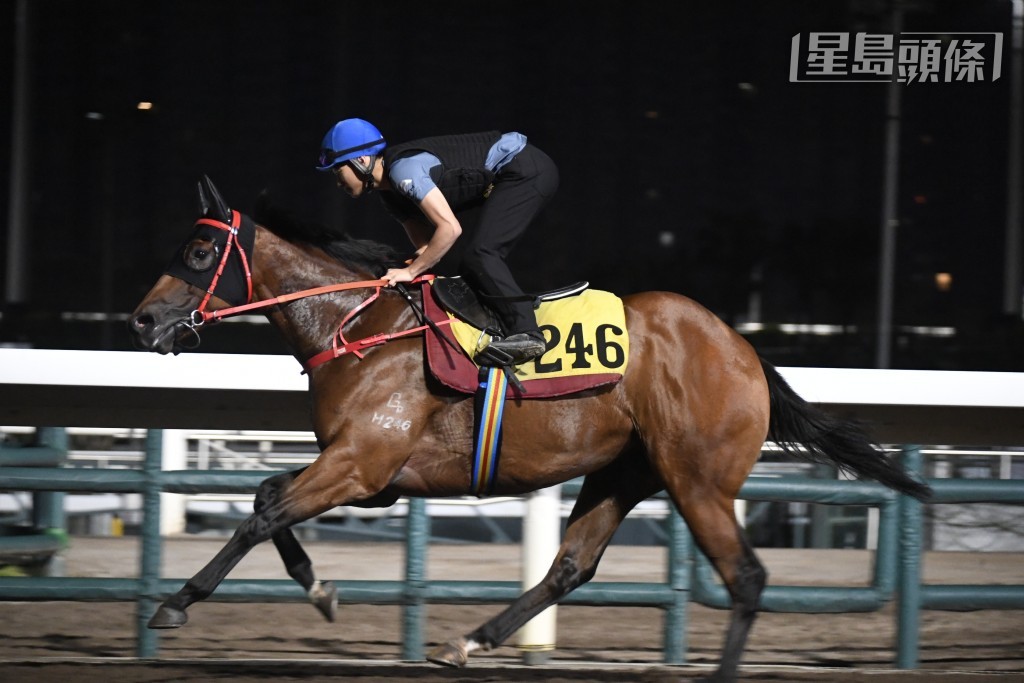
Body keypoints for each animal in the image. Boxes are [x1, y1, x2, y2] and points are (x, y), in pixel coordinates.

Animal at [128, 178, 929, 683]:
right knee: (571, 566)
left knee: (747, 577)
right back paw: (468, 640)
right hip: (623, 470)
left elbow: (262, 513)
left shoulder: (361, 463)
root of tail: (743, 349)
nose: (142, 320)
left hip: (697, 478)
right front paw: (320, 587)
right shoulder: (372, 475)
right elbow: (268, 498)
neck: (357, 326)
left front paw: (175, 603)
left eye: (198, 252)